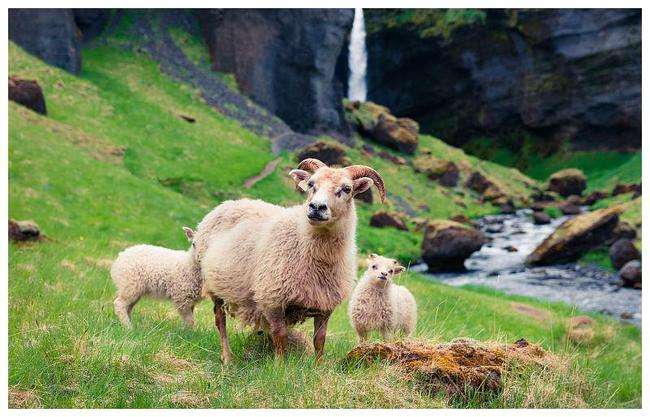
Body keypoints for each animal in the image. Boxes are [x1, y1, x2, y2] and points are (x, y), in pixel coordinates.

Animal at [192, 158, 384, 362]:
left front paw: (317, 366)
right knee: (220, 320)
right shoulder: (272, 299)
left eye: (347, 188)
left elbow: (320, 340)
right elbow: (280, 336)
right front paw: (279, 366)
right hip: (213, 285)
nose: (317, 207)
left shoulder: (324, 306)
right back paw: (227, 357)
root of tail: (228, 203)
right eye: (311, 184)